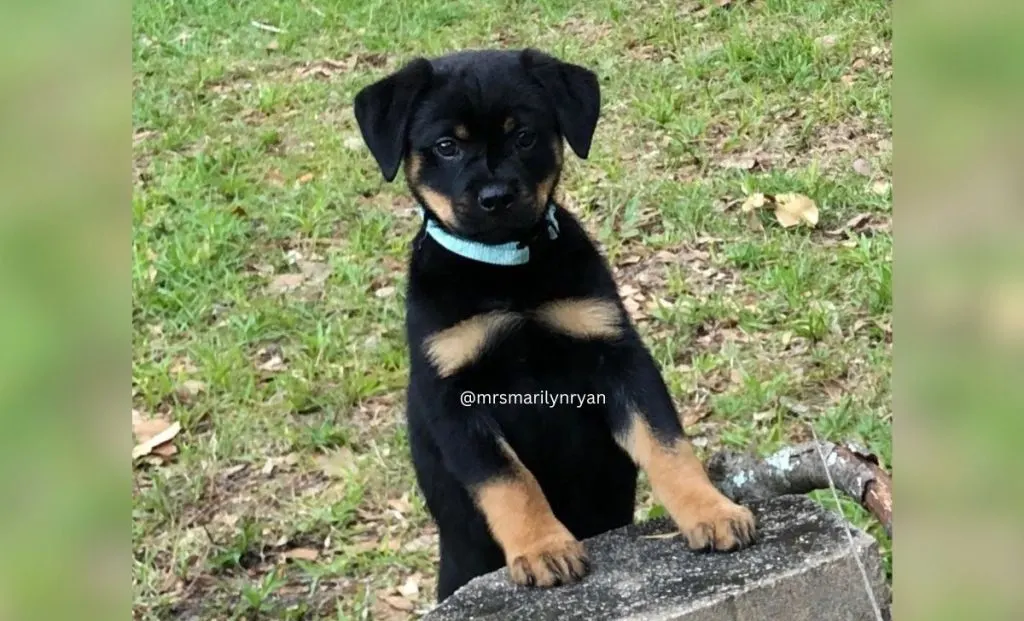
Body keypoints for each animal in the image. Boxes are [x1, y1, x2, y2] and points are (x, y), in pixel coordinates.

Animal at [356, 48, 757, 602]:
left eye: (524, 136)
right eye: (446, 146)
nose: (496, 197)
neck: (505, 269)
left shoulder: (617, 354)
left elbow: (666, 443)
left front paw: (710, 510)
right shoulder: (453, 395)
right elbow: (508, 479)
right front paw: (543, 548)